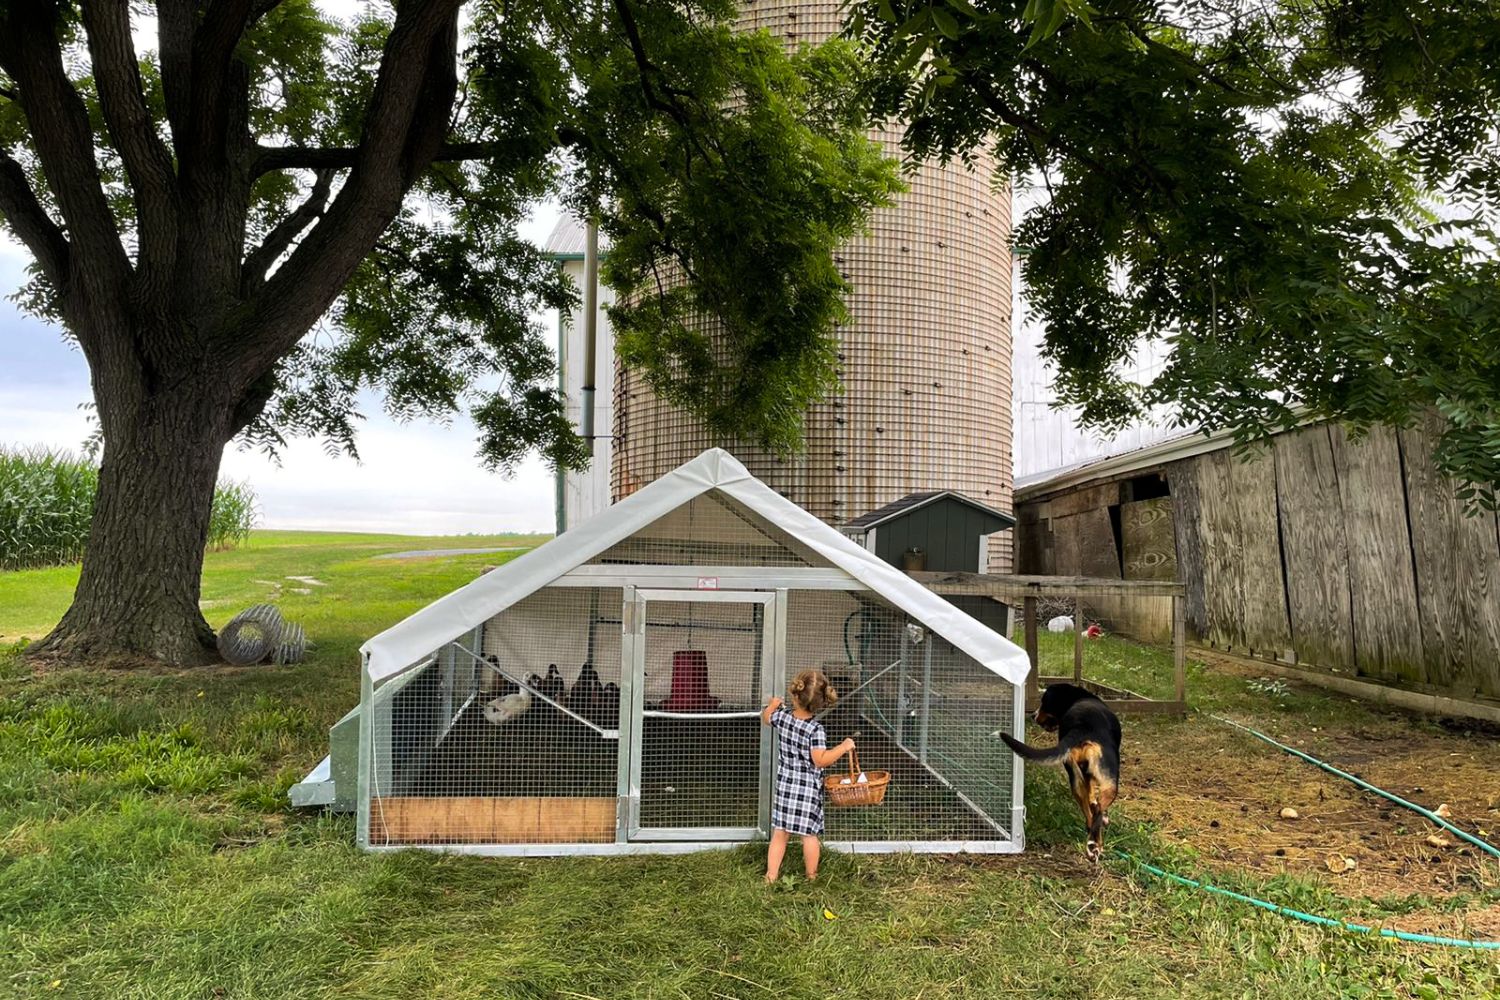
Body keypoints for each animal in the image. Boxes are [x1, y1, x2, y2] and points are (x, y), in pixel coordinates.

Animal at [1002, 683, 1122, 863]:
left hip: (1076, 781)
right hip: (1111, 781)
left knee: (1090, 815)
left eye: (1044, 702)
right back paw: (1095, 845)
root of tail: (1080, 727)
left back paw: (1091, 845)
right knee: (1098, 813)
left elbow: (1091, 796)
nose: (1033, 715)